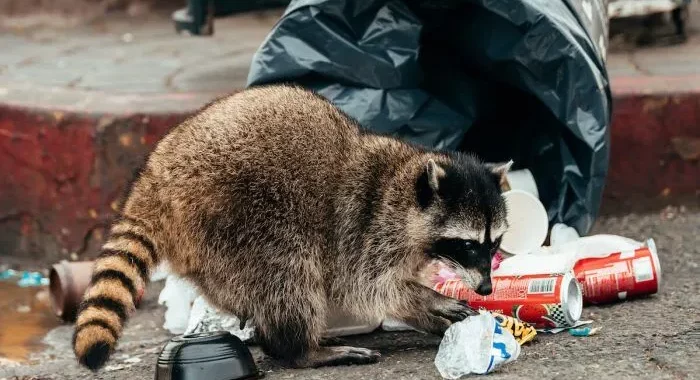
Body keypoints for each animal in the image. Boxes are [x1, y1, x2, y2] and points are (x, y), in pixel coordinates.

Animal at [72, 84, 508, 370]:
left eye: (494, 244)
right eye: (468, 244)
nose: (488, 288)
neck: (403, 182)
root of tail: (156, 178)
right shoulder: (364, 226)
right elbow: (368, 286)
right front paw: (424, 300)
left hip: (209, 245)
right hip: (239, 214)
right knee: (286, 274)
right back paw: (299, 349)